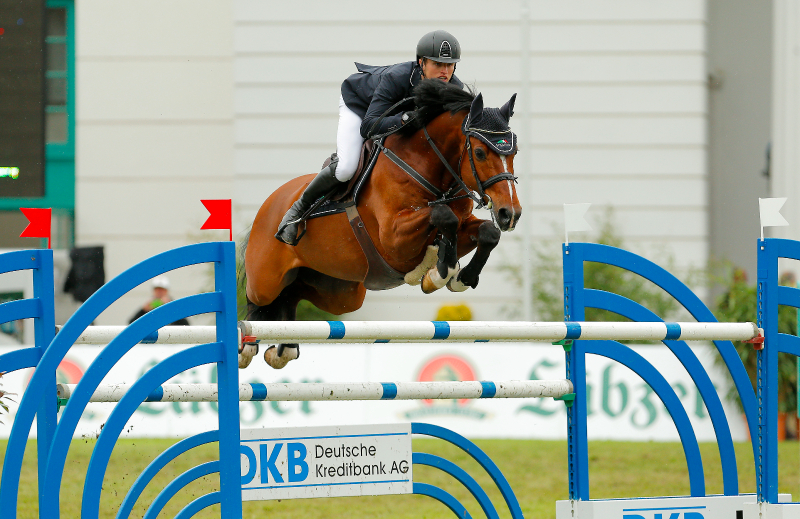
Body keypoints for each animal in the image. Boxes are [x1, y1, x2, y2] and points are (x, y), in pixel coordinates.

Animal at [241, 78, 520, 370]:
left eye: (515, 151)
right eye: (479, 152)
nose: (509, 214)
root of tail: (270, 203)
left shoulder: (458, 226)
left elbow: (486, 232)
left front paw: (458, 277)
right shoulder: (393, 239)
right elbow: (444, 216)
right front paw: (440, 271)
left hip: (339, 293)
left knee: (292, 293)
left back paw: (284, 349)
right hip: (266, 278)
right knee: (258, 299)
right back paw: (247, 345)